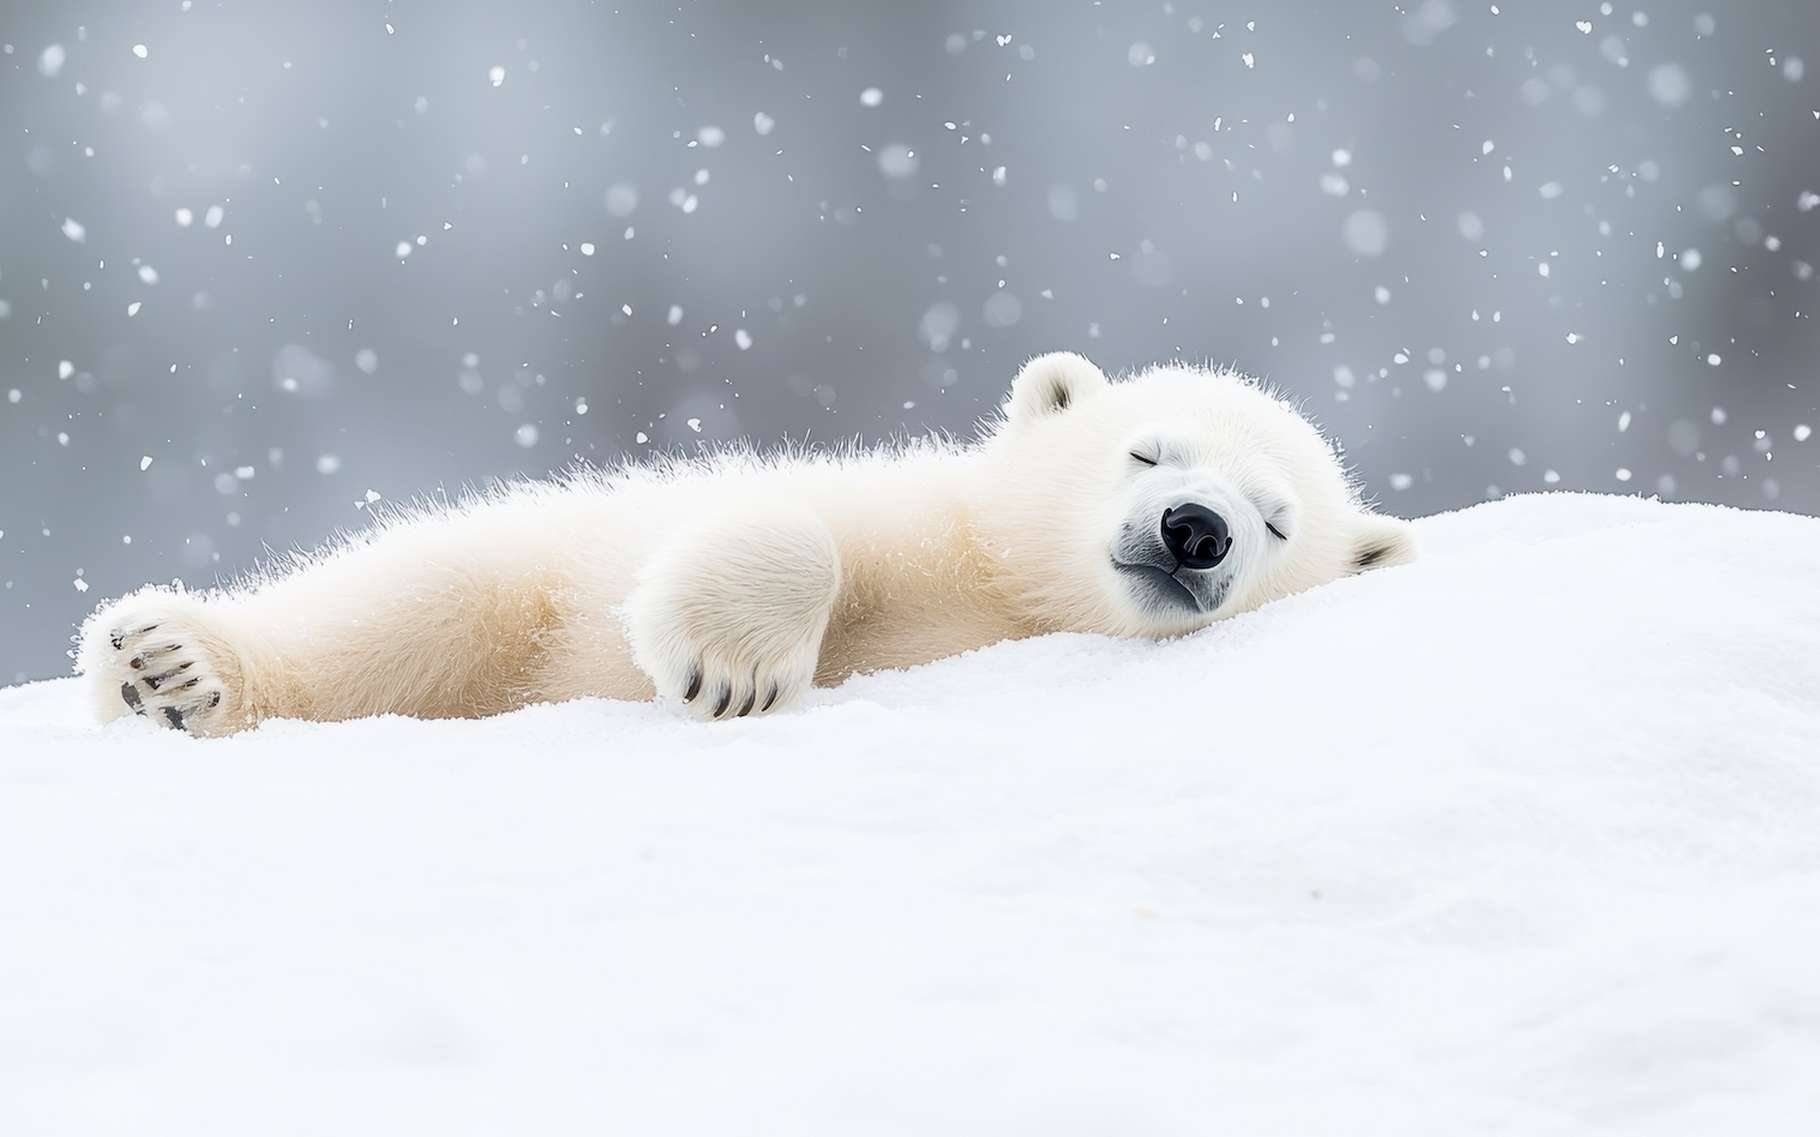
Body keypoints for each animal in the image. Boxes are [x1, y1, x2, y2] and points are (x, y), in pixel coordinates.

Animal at [78, 351, 1412, 731]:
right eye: (1146, 452)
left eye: (1277, 520)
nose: (1194, 529)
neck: (1008, 601)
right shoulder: (917, 525)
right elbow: (798, 521)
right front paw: (730, 669)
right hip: (522, 569)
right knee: (415, 599)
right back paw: (175, 665)